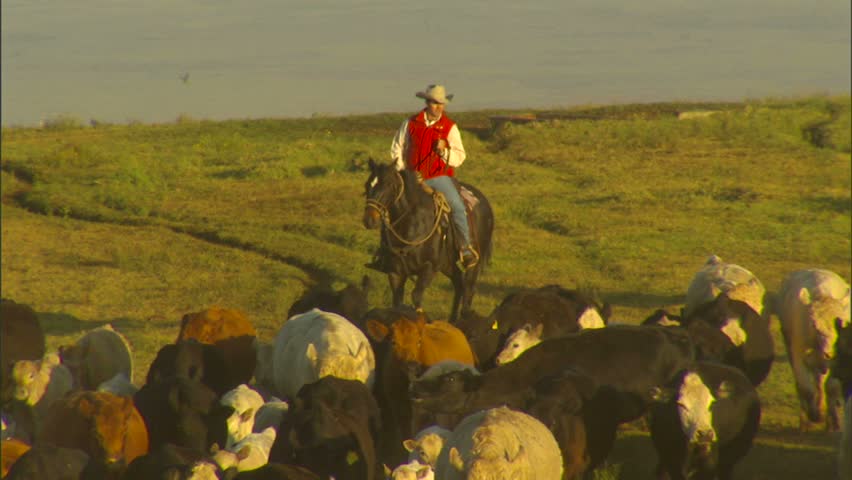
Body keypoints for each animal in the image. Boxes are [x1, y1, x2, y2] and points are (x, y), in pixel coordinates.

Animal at [776, 269, 851, 432]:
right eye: (815, 325)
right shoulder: (797, 352)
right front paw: (814, 415)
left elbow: (830, 387)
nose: (829, 354)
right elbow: (806, 388)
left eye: (840, 323)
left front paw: (832, 420)